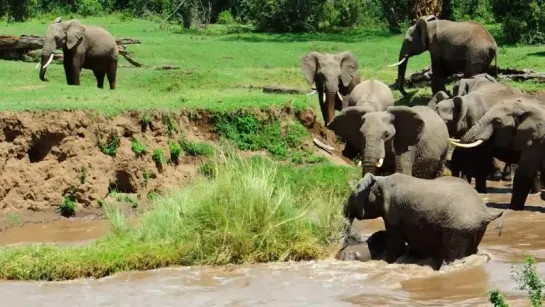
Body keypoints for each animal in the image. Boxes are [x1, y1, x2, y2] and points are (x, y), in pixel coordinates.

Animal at [342, 173, 504, 272]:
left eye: (353, 196)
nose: (348, 239)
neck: (382, 179)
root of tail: (484, 213)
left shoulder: (393, 211)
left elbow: (394, 240)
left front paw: (389, 262)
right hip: (472, 230)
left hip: (458, 230)